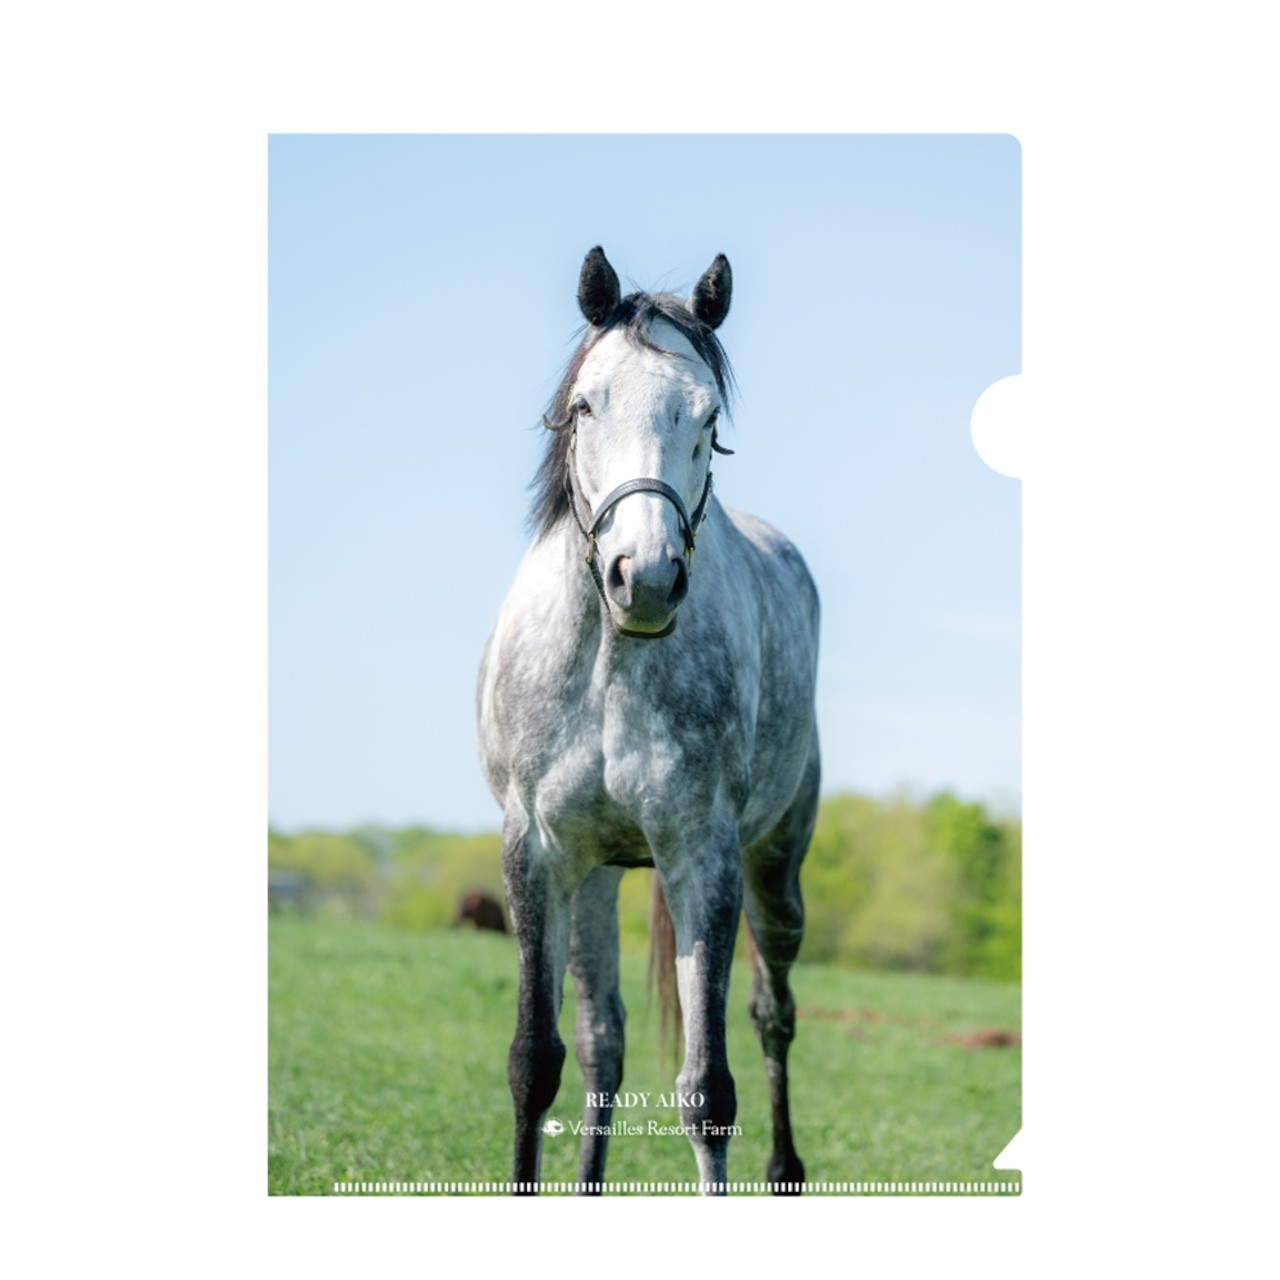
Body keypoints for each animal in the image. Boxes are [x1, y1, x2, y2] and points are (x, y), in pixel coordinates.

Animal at [476, 247, 820, 1195]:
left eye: (707, 416)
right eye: (587, 406)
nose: (648, 578)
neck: (607, 659)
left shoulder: (704, 855)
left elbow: (708, 1090)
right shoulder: (537, 855)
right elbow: (536, 1062)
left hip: (775, 870)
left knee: (773, 1014)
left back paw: (786, 1167)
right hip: (596, 875)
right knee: (603, 1043)